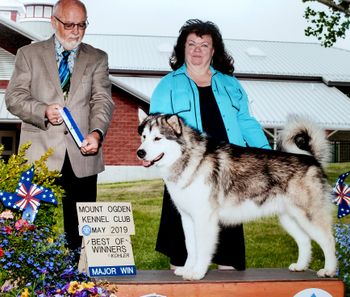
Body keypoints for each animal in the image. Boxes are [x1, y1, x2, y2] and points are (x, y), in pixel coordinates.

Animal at [136, 109, 336, 280]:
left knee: (328, 241)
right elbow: (191, 247)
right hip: (289, 218)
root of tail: (311, 159)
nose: (140, 152)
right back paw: (300, 266)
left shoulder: (204, 218)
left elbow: (202, 248)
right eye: (144, 137)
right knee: (304, 241)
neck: (191, 160)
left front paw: (197, 273)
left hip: (308, 216)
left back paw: (329, 270)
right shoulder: (187, 218)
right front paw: (187, 269)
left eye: (158, 138)